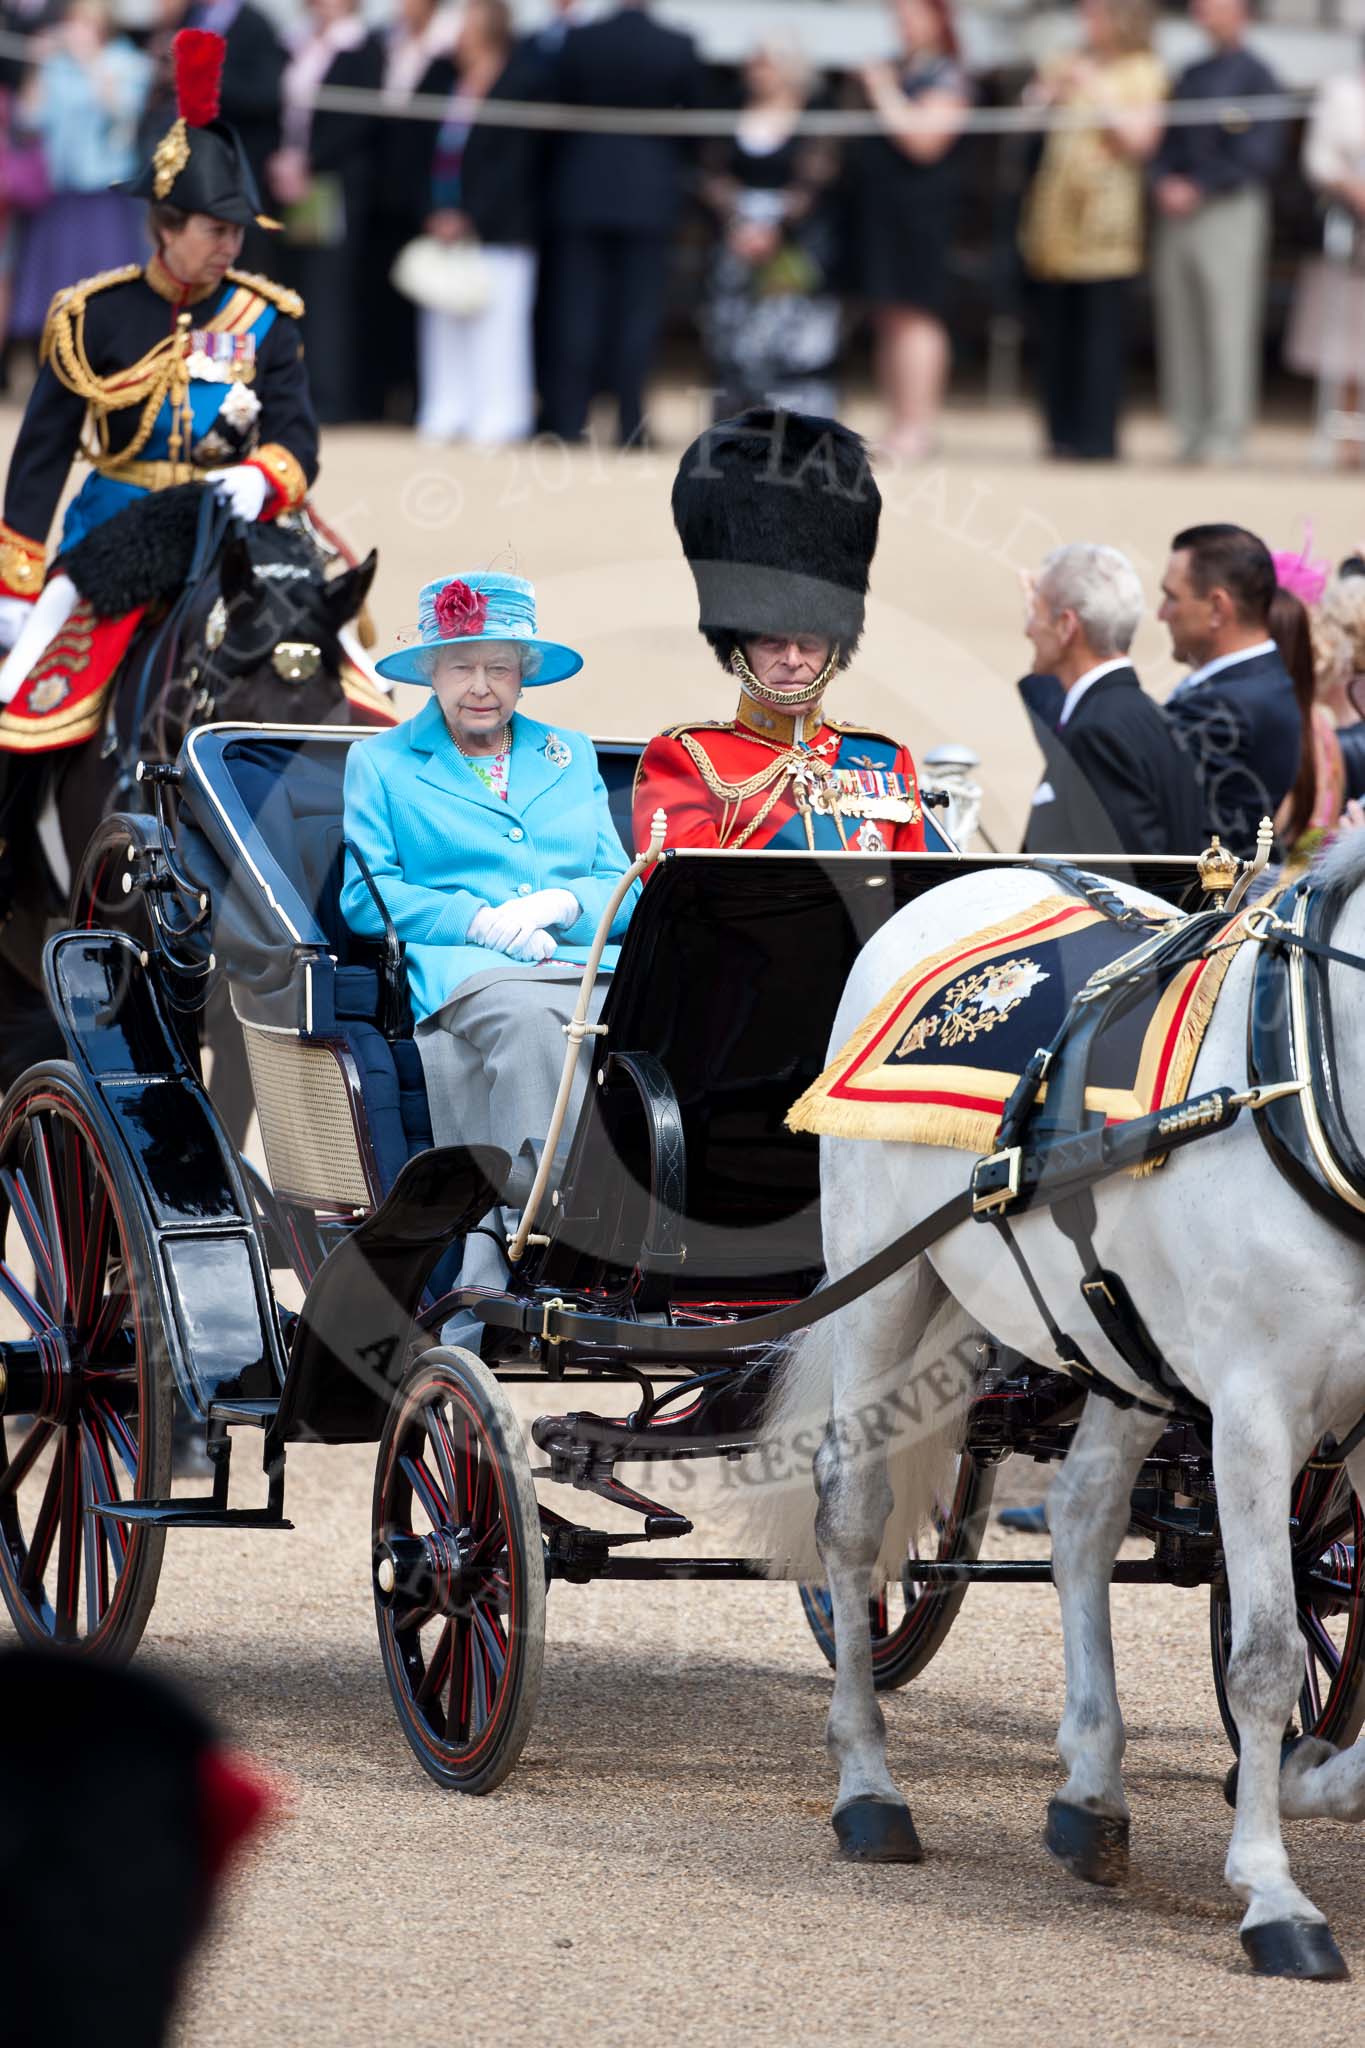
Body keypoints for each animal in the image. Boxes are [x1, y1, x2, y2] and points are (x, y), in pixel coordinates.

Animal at [753, 831, 1365, 1982]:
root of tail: (987, 870)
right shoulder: (1256, 1410)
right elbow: (1266, 1652)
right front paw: (1273, 1889)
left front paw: (1309, 1777)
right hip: (882, 1288)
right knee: (849, 1515)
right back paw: (867, 1784)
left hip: (1121, 1337)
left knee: (1080, 1518)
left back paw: (1091, 1789)